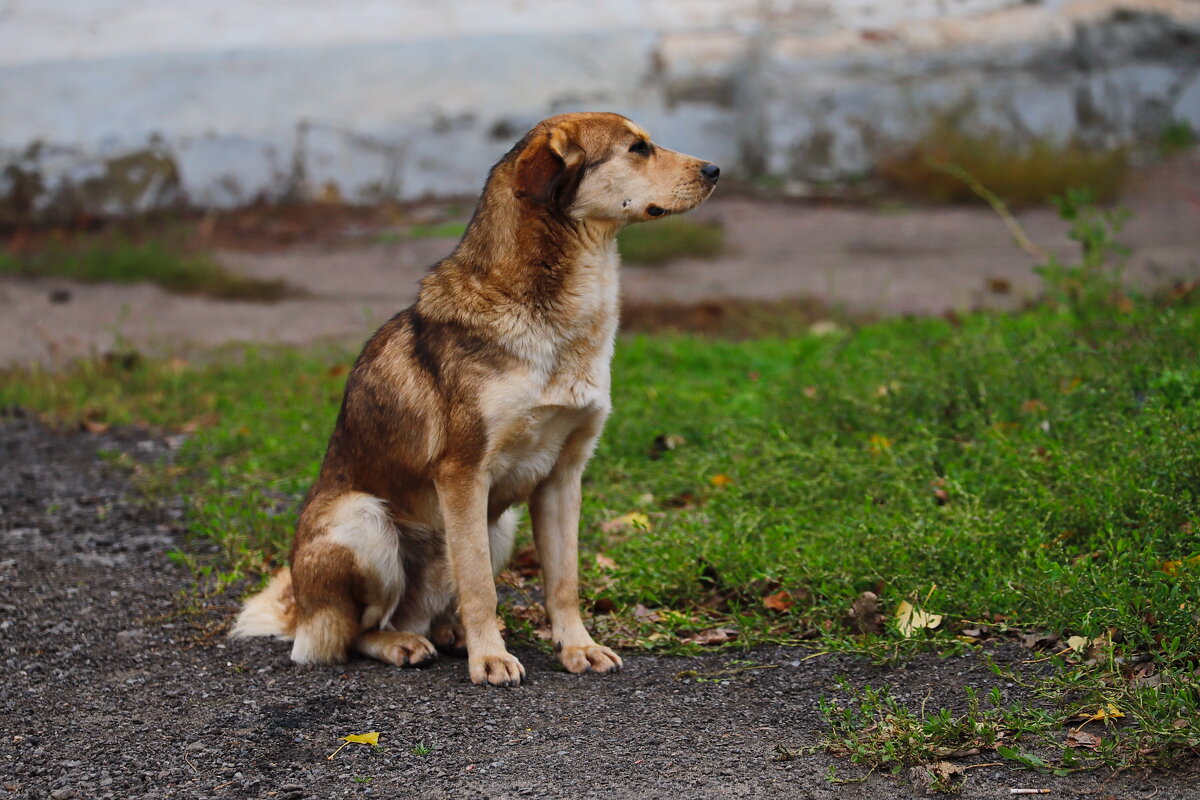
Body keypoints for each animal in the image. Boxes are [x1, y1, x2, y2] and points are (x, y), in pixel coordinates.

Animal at [231, 110, 720, 690]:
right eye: (637, 148)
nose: (716, 169)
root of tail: (301, 613)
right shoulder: (462, 475)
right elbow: (481, 586)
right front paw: (490, 659)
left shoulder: (563, 477)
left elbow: (563, 581)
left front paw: (577, 647)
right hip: (364, 522)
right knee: (356, 633)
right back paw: (405, 643)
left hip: (499, 525)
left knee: (431, 609)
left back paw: (449, 634)